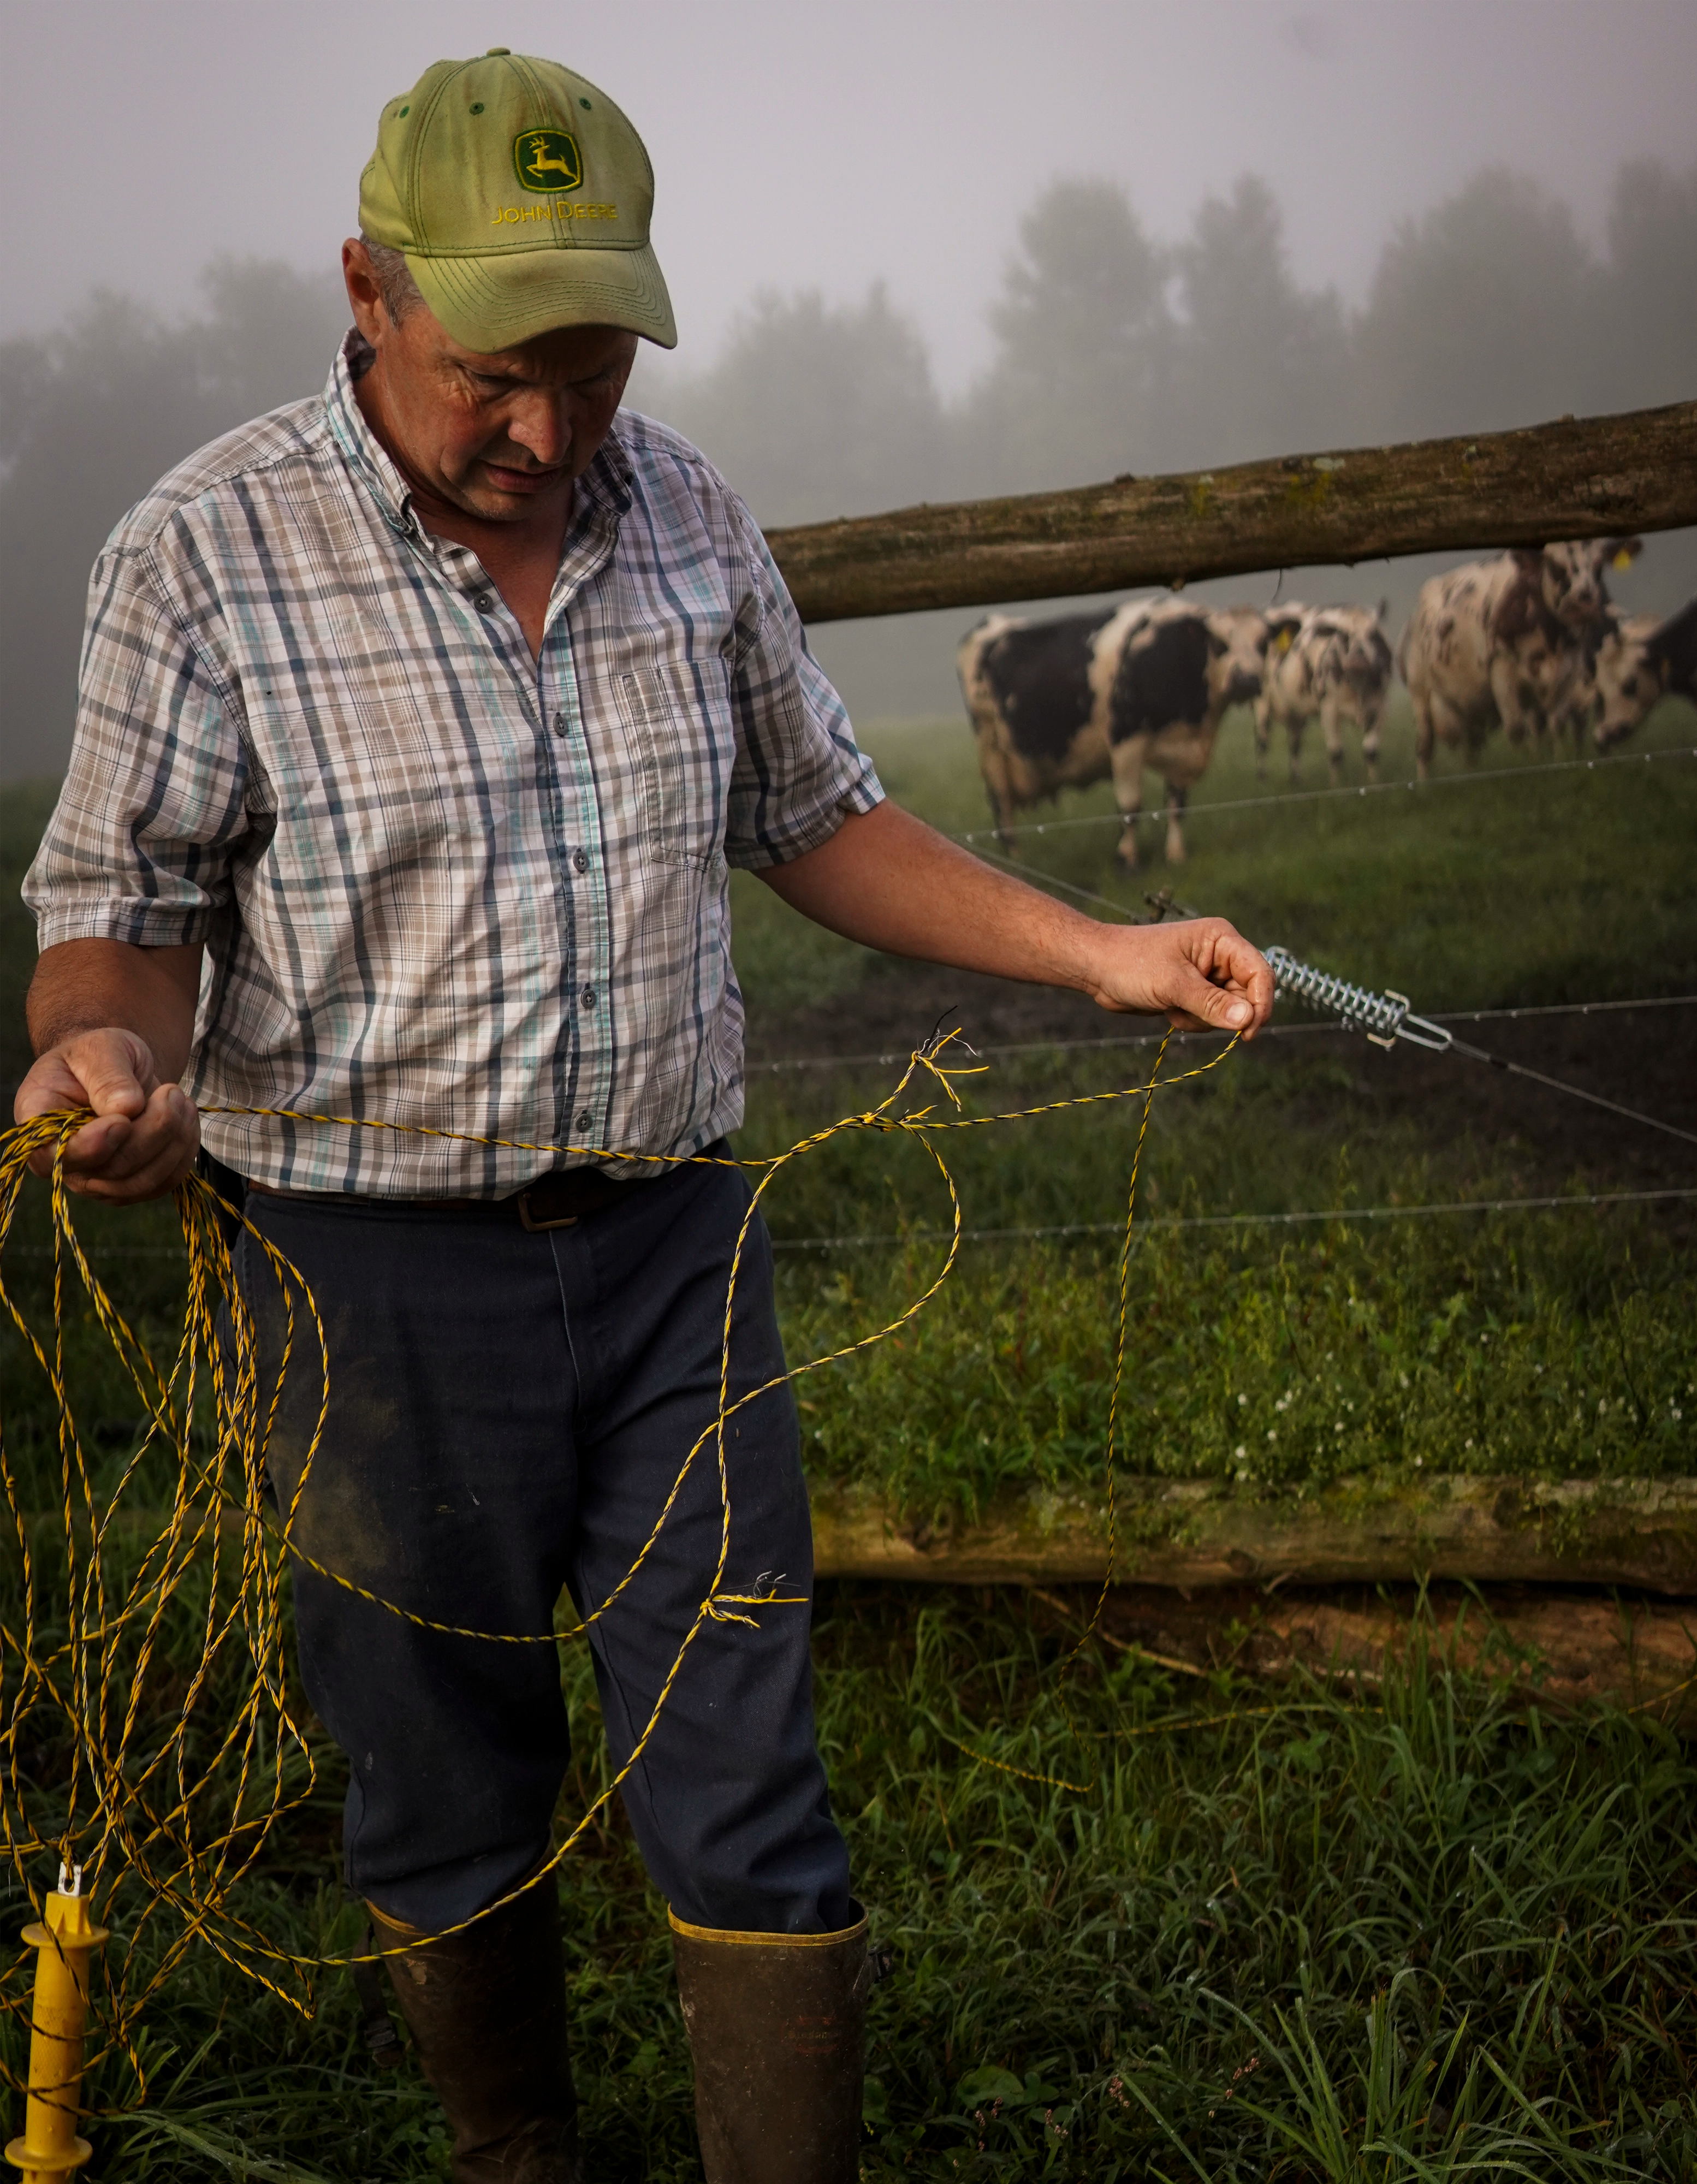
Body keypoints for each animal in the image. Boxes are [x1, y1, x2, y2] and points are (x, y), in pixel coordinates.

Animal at [961, 603, 1275, 874]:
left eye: (1263, 644)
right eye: (1220, 643)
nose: (1247, 680)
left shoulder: (1182, 750)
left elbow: (1177, 805)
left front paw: (1175, 856)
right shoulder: (1126, 737)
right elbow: (1130, 805)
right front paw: (1127, 862)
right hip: (991, 743)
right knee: (1001, 801)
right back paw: (1015, 859)